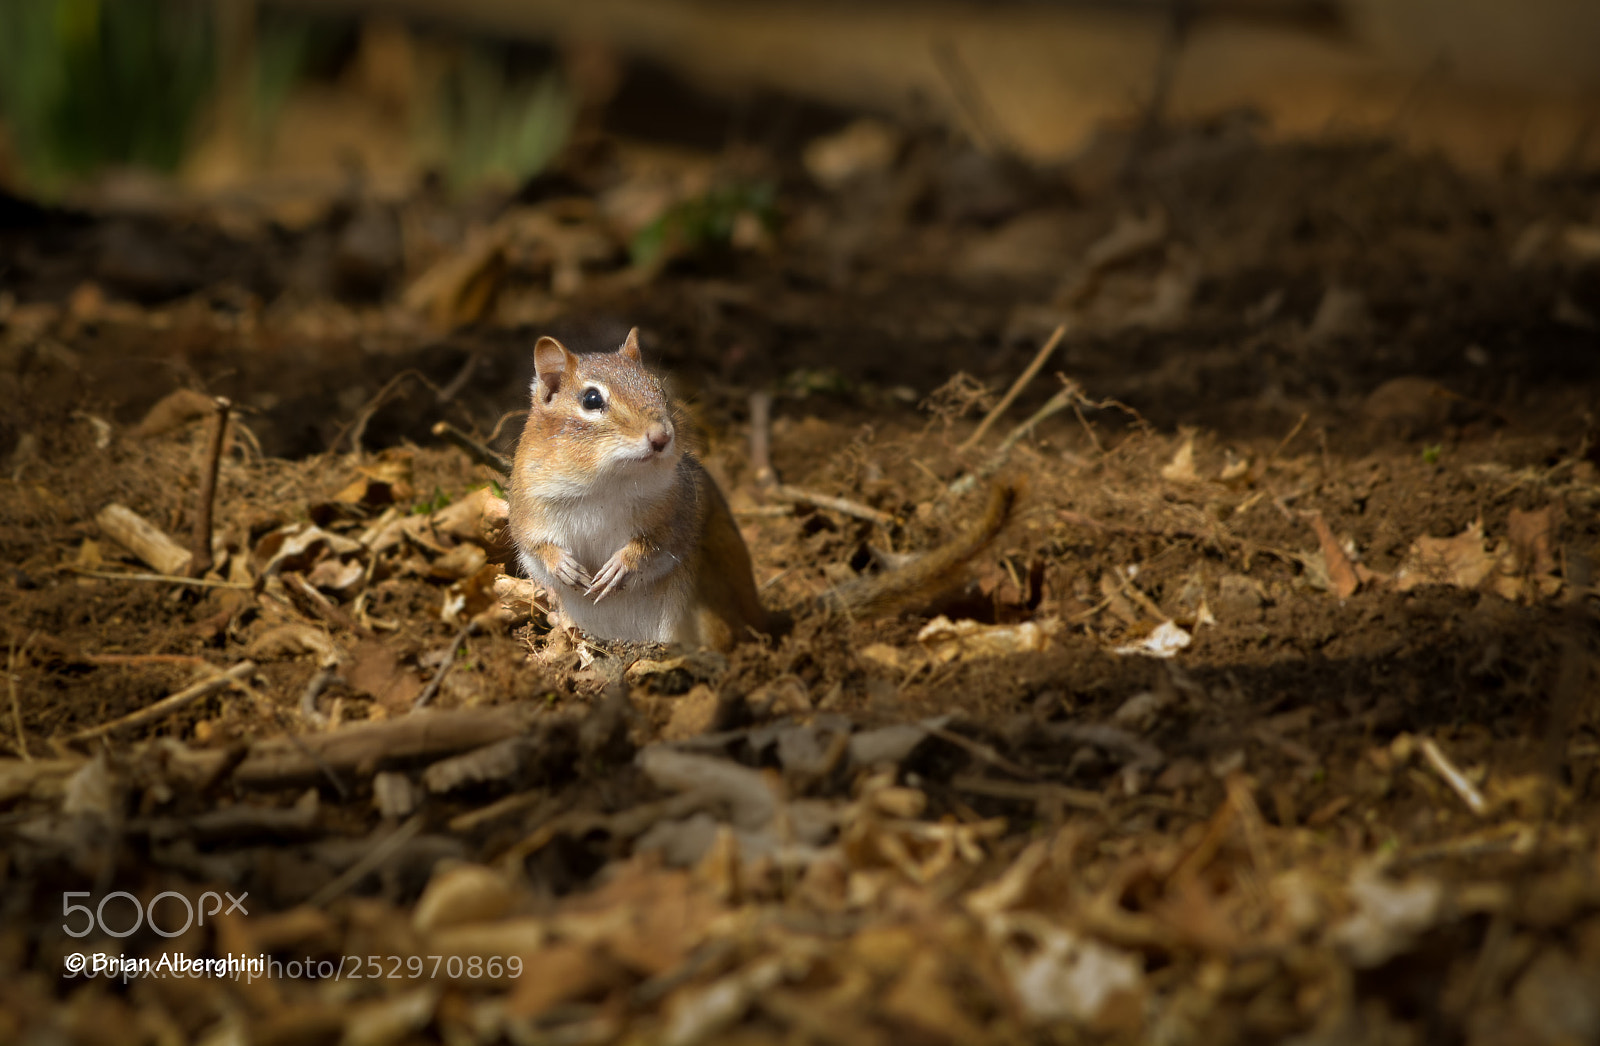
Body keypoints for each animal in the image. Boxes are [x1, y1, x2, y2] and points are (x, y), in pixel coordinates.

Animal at [507, 328, 1017, 652]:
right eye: (591, 399)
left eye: (660, 388)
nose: (661, 436)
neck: (606, 482)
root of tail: (757, 613)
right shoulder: (530, 504)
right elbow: (533, 542)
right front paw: (564, 565)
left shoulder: (676, 510)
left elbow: (657, 544)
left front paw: (621, 565)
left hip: (701, 603)